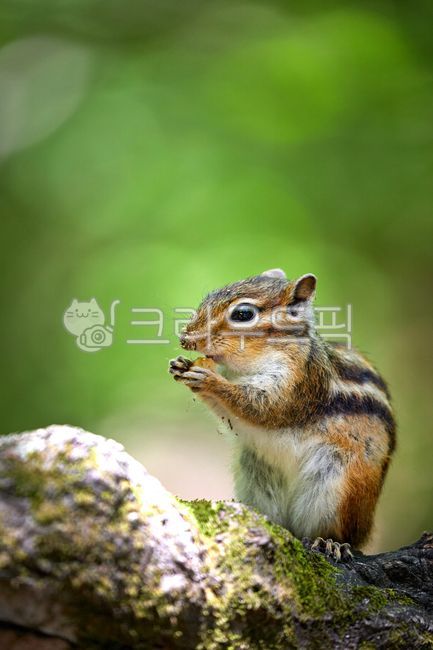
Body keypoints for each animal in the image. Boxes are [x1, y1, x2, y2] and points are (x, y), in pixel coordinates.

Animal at [169, 269, 396, 561]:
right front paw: (180, 366)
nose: (185, 338)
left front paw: (210, 380)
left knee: (344, 533)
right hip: (256, 477)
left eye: (243, 314)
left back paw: (331, 542)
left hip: (341, 486)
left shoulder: (298, 383)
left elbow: (264, 408)